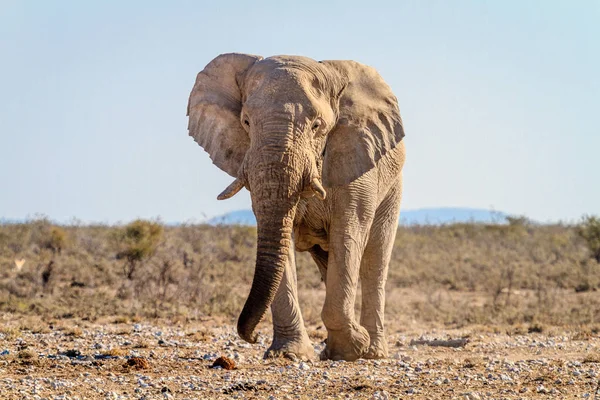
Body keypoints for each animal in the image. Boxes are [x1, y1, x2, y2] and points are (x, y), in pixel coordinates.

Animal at [186, 51, 408, 360]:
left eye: (317, 126)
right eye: (246, 122)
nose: (252, 336)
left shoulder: (357, 162)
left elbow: (348, 236)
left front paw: (354, 347)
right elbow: (281, 239)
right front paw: (289, 354)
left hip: (392, 187)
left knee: (374, 259)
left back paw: (373, 352)